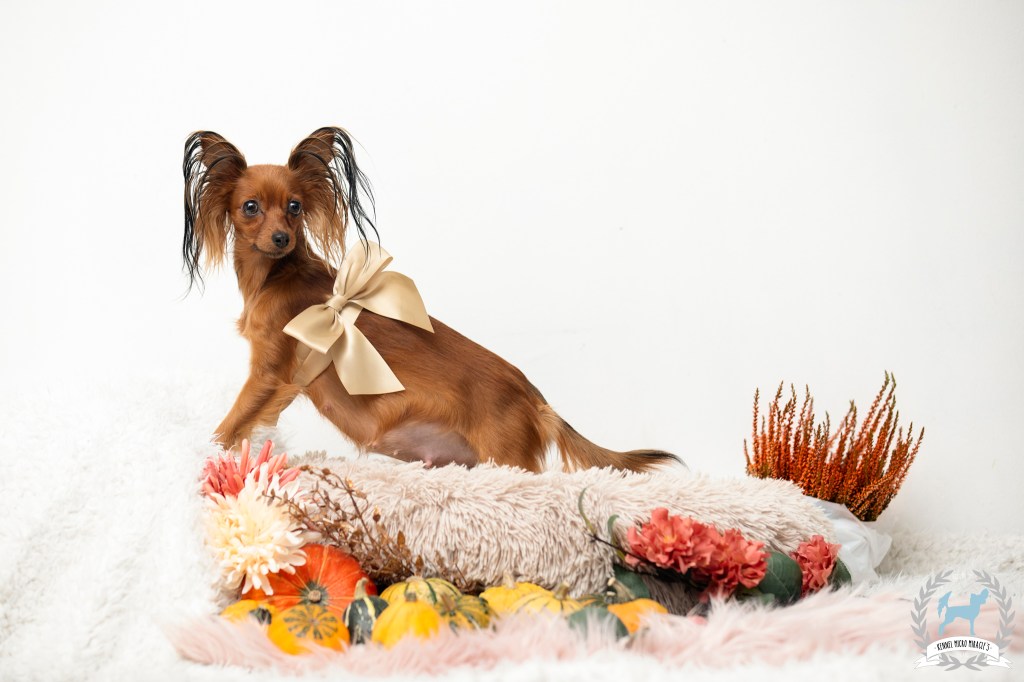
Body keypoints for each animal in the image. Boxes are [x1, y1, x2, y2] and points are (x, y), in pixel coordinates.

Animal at [183, 127, 677, 472]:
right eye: (250, 207)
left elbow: (228, 425)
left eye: (295, 207)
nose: (282, 238)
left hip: (509, 461)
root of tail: (537, 399)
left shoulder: (268, 375)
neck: (278, 275)